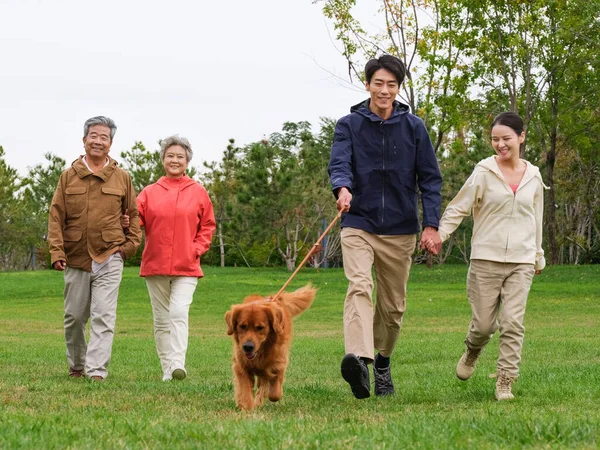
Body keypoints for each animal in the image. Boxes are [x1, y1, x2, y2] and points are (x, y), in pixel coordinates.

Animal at [225, 284, 316, 412]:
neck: (261, 353)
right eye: (242, 326)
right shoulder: (241, 366)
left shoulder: (279, 364)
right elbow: (245, 390)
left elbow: (275, 393)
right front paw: (247, 407)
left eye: (260, 328)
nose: (248, 347)